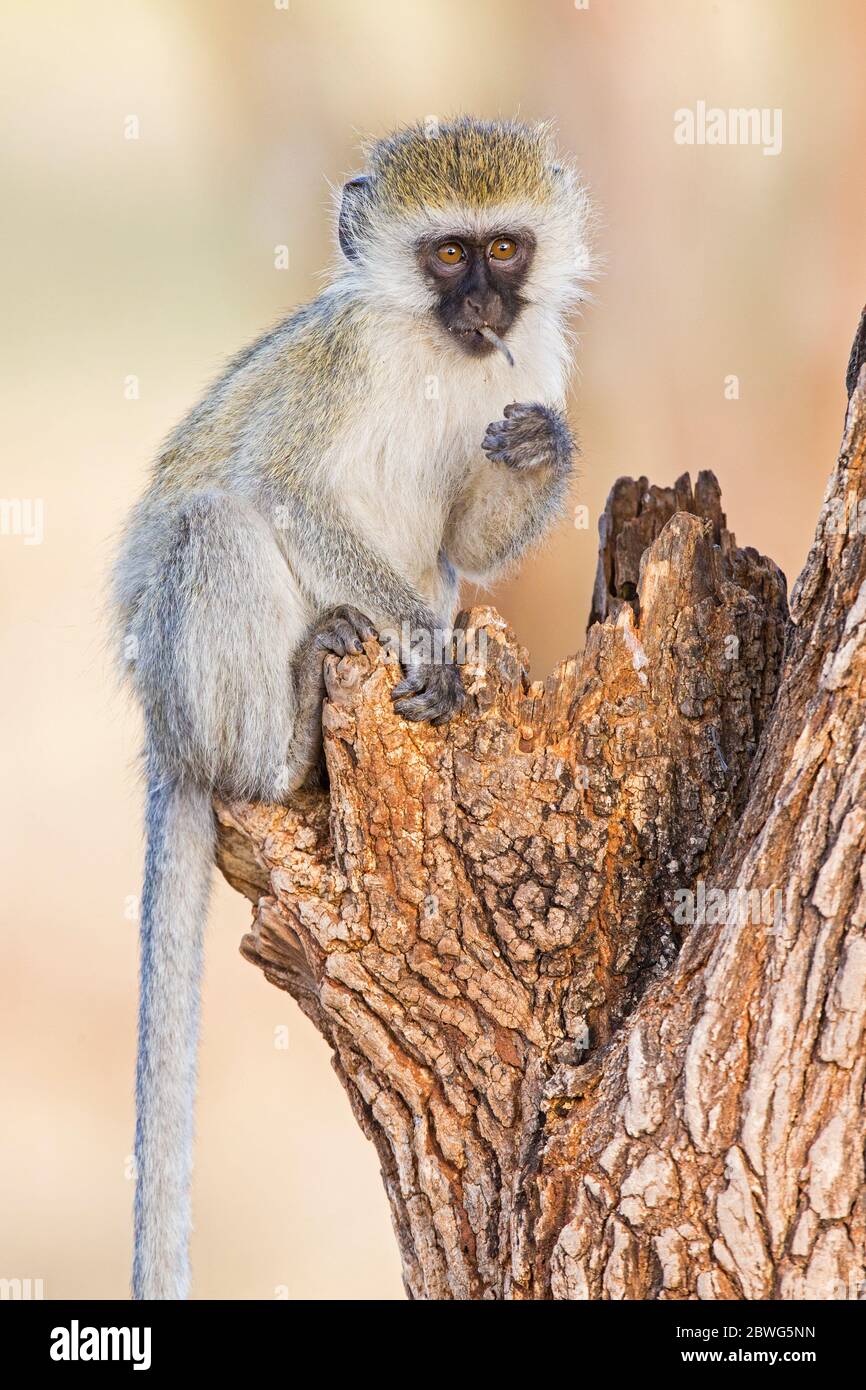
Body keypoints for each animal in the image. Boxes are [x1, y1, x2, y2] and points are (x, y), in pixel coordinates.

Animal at [111, 116, 593, 1299]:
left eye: (503, 249)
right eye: (447, 256)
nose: (484, 309)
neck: (430, 350)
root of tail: (163, 730)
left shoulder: (527, 367)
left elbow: (467, 544)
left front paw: (546, 453)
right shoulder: (341, 367)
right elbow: (286, 490)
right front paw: (421, 639)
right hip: (184, 680)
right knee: (219, 524)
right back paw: (283, 751)